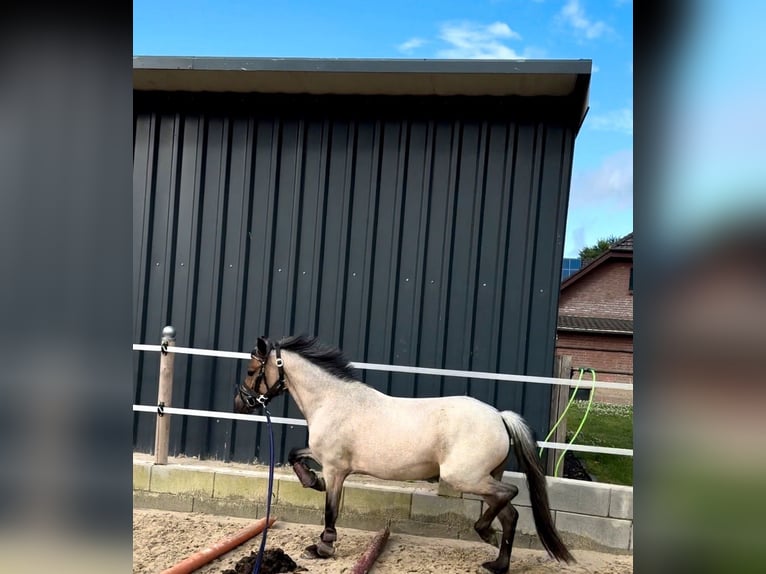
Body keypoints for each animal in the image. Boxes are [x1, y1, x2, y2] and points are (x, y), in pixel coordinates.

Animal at [234, 336, 576, 572]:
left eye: (251, 370)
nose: (240, 403)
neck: (333, 400)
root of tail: (499, 417)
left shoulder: (334, 468)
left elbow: (330, 510)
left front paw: (322, 548)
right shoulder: (324, 456)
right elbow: (294, 453)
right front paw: (311, 482)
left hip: (465, 477)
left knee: (510, 494)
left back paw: (485, 534)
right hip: (484, 477)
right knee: (510, 513)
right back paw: (497, 563)